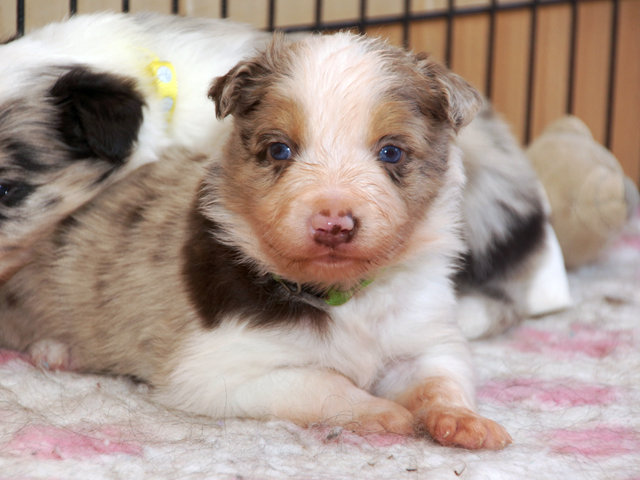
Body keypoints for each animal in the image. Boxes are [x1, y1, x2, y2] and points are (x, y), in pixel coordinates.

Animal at [0, 32, 516, 450]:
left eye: (391, 152)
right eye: (279, 150)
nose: (333, 224)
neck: (343, 296)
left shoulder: (425, 336)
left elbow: (440, 378)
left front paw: (464, 421)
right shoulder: (220, 372)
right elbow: (320, 382)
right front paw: (383, 412)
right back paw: (55, 351)